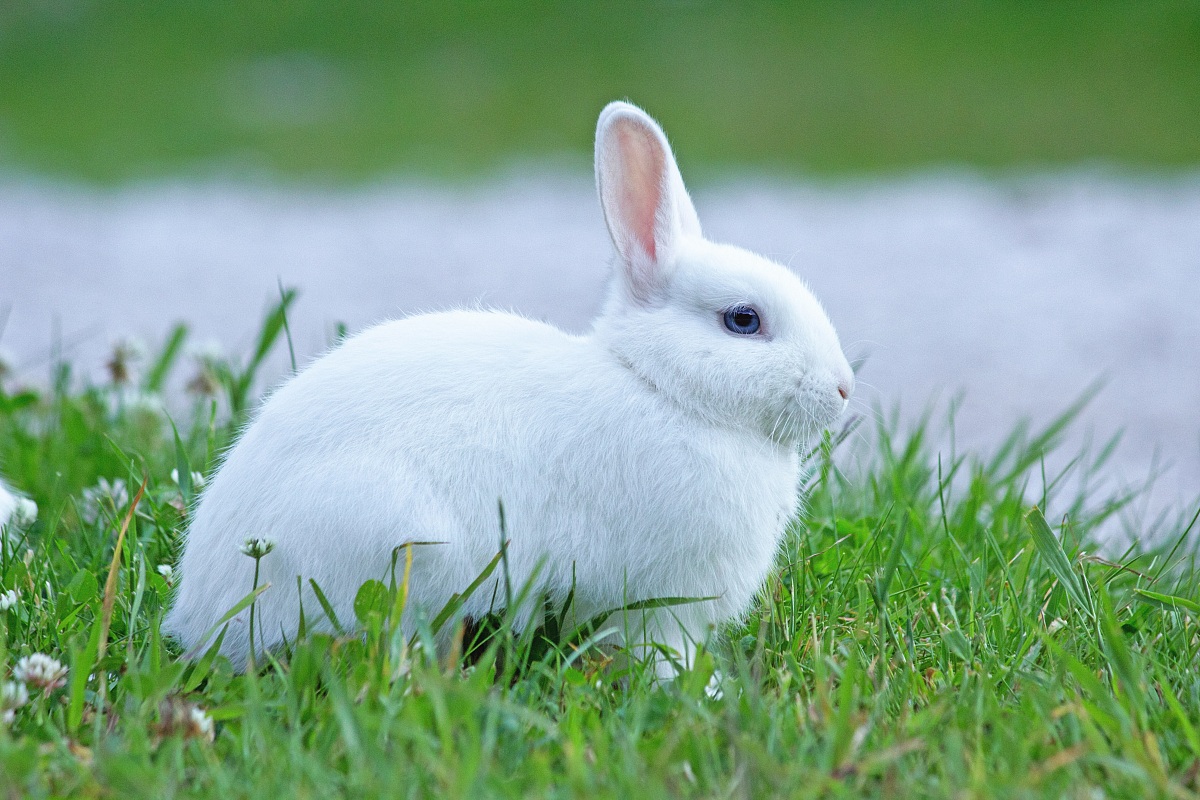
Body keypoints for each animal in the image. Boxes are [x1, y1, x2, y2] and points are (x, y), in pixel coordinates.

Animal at [165, 101, 854, 677]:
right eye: (743, 320)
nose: (845, 388)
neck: (660, 387)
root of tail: (204, 613)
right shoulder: (659, 606)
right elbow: (661, 655)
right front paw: (701, 693)